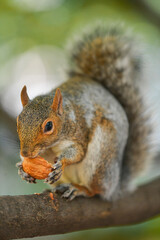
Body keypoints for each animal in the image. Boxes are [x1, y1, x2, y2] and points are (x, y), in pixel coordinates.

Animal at [15, 24, 155, 201]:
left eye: (48, 126)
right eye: (18, 121)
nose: (25, 153)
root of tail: (115, 185)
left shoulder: (79, 131)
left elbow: (78, 153)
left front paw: (61, 163)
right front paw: (22, 169)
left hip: (101, 158)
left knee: (95, 190)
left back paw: (80, 189)